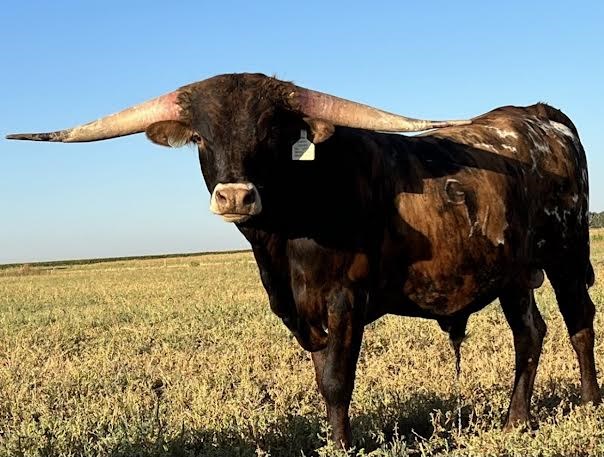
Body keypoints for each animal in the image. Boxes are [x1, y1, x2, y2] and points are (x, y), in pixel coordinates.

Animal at [7, 73, 601, 448]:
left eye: (272, 132)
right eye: (200, 137)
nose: (235, 195)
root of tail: (540, 116)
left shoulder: (344, 300)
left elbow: (338, 379)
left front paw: (342, 446)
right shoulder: (302, 310)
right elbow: (321, 378)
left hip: (566, 252)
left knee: (574, 323)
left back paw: (576, 406)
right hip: (514, 275)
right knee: (533, 331)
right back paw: (522, 418)